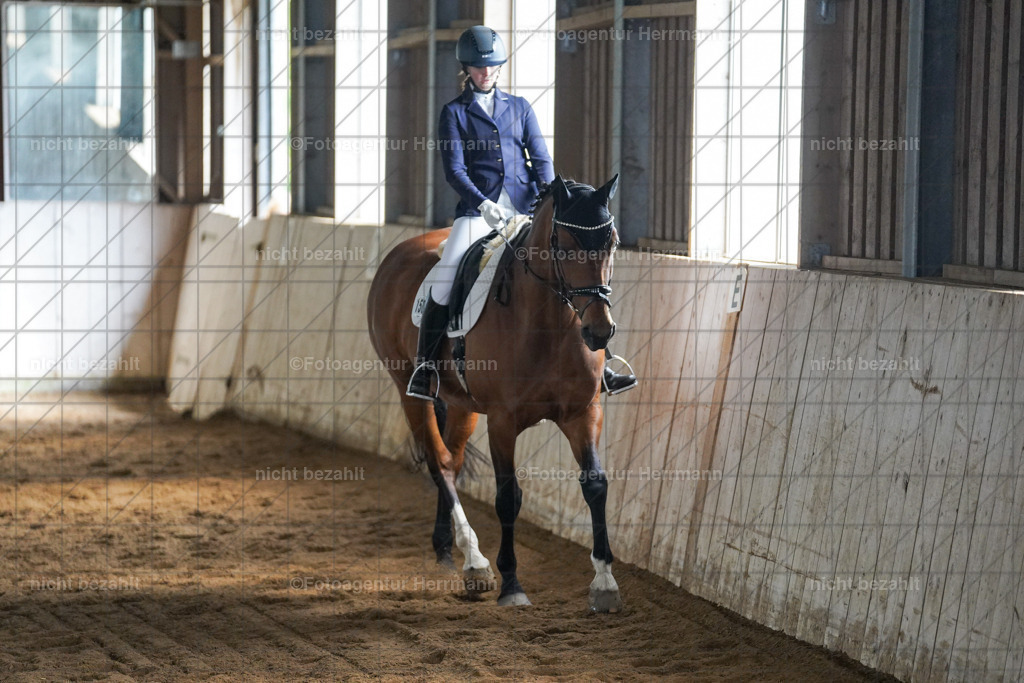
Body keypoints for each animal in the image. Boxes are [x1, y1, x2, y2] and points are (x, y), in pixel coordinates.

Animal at [366, 175, 622, 611]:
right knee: (440, 463)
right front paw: (512, 584)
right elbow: (508, 497)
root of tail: (398, 253)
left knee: (452, 459)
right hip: (408, 391)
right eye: (565, 246)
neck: (550, 326)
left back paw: (446, 550)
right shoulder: (503, 421)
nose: (599, 331)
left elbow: (595, 484)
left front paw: (604, 583)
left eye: (612, 243)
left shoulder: (583, 412)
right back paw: (476, 562)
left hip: (461, 404)